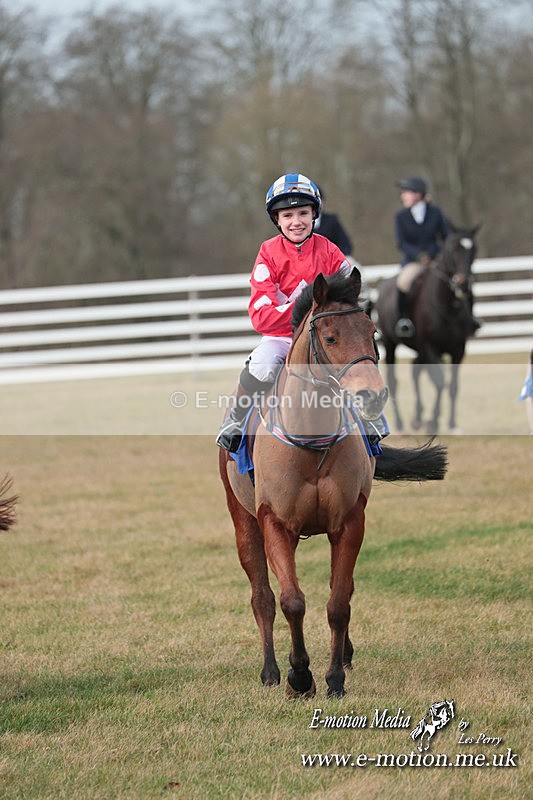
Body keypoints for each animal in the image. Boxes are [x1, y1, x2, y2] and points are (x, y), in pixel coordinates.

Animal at [219, 267, 448, 698]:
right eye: (329, 338)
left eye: (372, 331)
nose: (372, 395)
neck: (311, 443)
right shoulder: (274, 522)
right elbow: (291, 600)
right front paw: (299, 675)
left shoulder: (349, 522)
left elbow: (339, 602)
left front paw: (334, 676)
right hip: (243, 520)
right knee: (263, 598)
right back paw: (271, 671)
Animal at [374, 224, 479, 434]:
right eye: (453, 249)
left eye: (473, 250)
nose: (463, 284)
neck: (448, 306)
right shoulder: (431, 347)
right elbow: (439, 381)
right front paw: (433, 422)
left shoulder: (458, 349)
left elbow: (452, 386)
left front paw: (451, 424)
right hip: (391, 344)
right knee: (393, 381)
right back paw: (401, 424)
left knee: (415, 371)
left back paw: (417, 418)